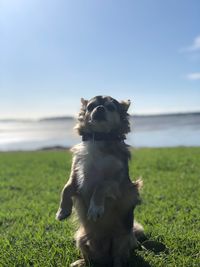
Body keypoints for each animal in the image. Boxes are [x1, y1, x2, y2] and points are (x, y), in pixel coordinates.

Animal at [56, 96, 143, 267]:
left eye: (111, 107)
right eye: (91, 106)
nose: (100, 108)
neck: (99, 138)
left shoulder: (118, 183)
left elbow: (101, 186)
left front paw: (95, 208)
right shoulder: (75, 174)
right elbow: (66, 188)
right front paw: (63, 211)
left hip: (121, 240)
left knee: (119, 259)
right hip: (80, 238)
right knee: (91, 259)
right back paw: (81, 262)